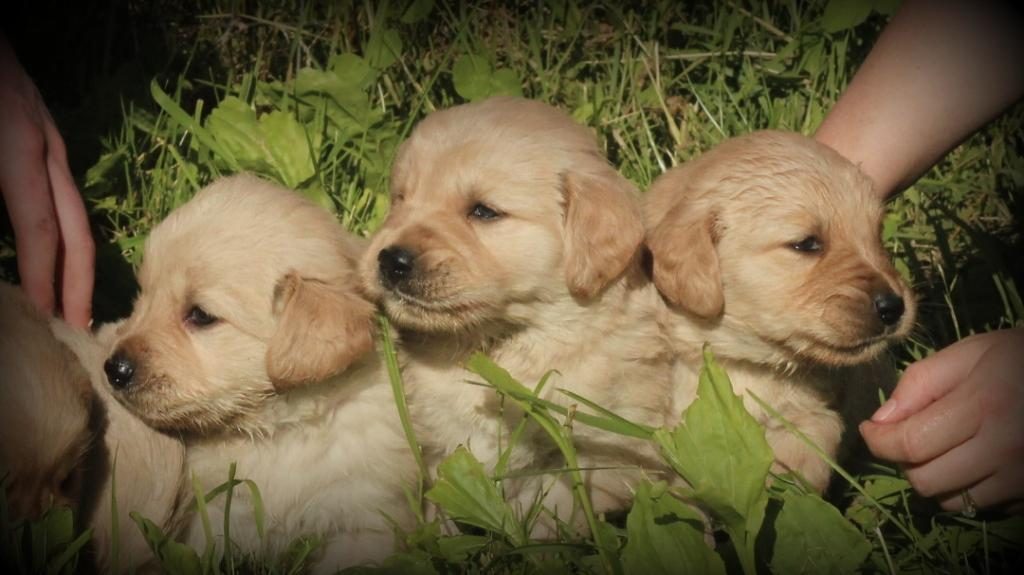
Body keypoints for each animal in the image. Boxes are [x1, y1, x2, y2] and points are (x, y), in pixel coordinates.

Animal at [360, 96, 671, 527]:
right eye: (401, 199)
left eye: (483, 212)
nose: (391, 260)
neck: (498, 344)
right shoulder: (434, 441)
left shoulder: (596, 452)